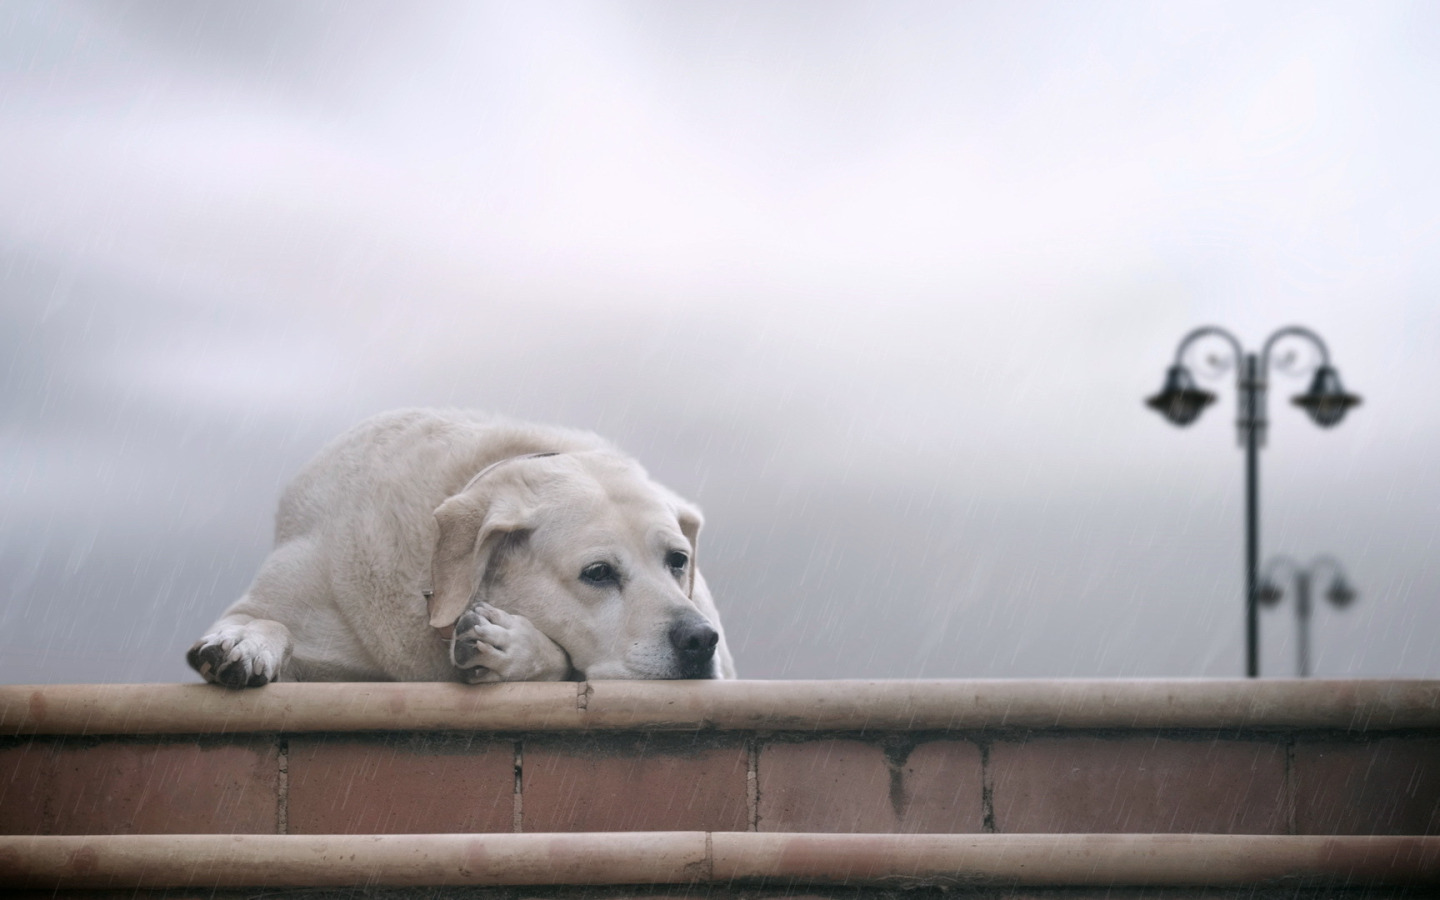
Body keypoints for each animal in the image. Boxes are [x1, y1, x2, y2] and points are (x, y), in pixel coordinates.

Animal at [187, 411, 737, 685]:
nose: (699, 640)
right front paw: (244, 642)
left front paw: (511, 646)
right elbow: (265, 619)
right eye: (598, 572)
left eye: (677, 561)